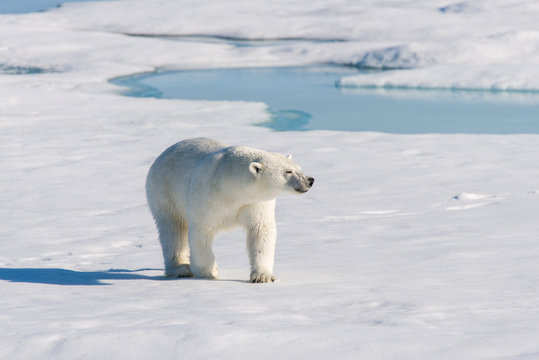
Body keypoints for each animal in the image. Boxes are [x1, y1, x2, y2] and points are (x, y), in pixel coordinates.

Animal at [146, 137, 314, 282]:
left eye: (299, 168)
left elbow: (260, 231)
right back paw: (181, 269)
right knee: (173, 229)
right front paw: (211, 272)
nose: (310, 180)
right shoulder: (207, 197)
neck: (230, 185)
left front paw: (262, 276)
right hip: (164, 192)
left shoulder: (254, 203)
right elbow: (202, 232)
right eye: (288, 171)